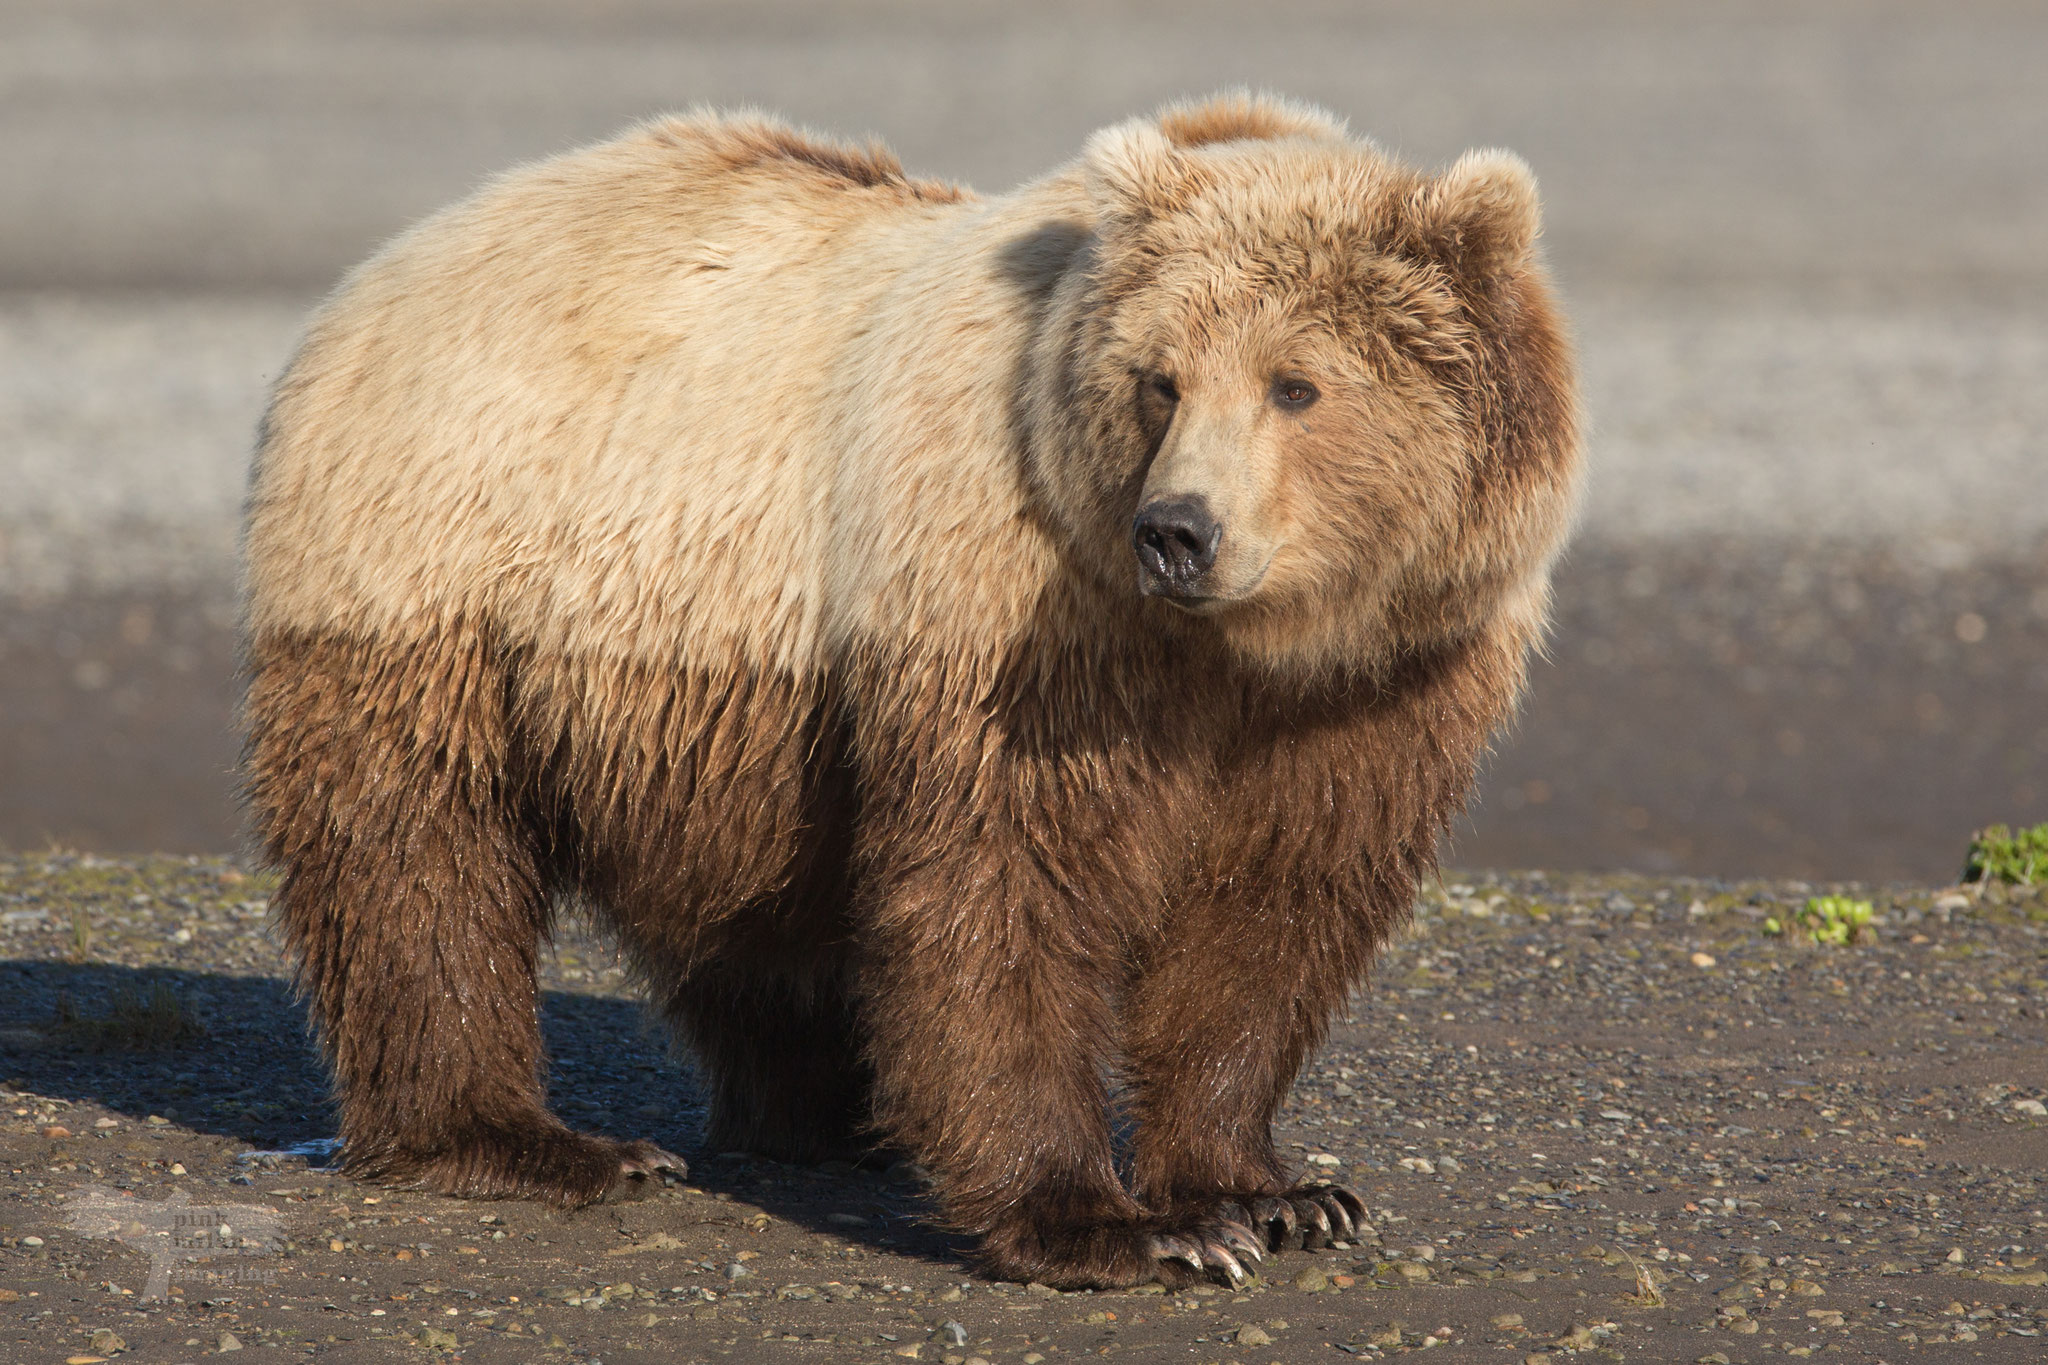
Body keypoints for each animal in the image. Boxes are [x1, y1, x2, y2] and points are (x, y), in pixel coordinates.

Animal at [241, 91, 1580, 1289]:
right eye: (1158, 379)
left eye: (1295, 384)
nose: (1175, 530)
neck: (1244, 648)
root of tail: (393, 260)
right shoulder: (1018, 608)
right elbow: (1004, 879)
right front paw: (1109, 1225)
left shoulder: (1384, 684)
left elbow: (1272, 910)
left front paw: (1273, 1193)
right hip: (443, 561)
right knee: (420, 856)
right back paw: (529, 1141)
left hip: (709, 719)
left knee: (748, 920)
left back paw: (824, 1114)